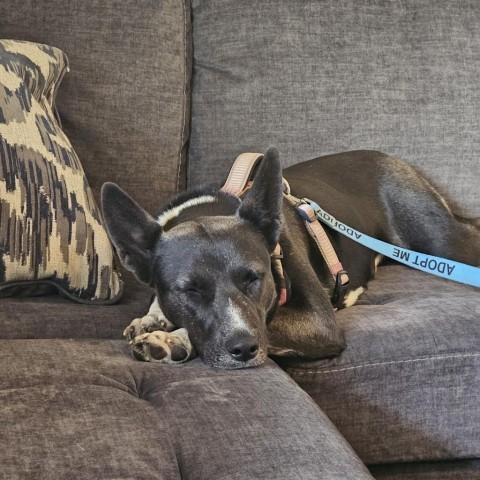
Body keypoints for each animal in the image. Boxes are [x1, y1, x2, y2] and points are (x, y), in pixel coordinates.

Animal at [101, 148, 480, 370]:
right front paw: (155, 319)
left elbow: (264, 324)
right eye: (190, 291)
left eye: (255, 279)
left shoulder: (318, 323)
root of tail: (394, 160)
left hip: (441, 239)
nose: (244, 349)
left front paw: (172, 339)